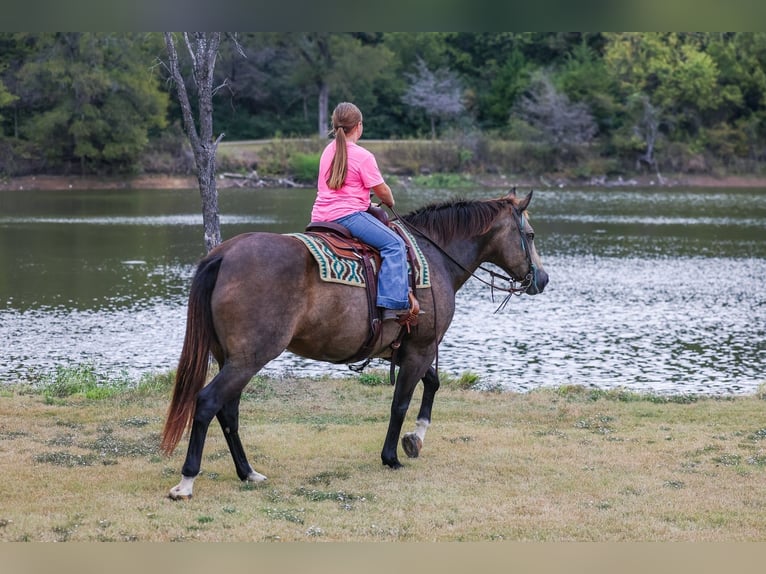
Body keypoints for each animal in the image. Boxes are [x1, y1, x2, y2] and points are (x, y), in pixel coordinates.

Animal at [160, 189, 548, 499]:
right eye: (529, 234)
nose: (542, 279)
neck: (434, 256)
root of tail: (223, 255)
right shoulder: (422, 348)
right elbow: (400, 403)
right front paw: (392, 457)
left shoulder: (408, 349)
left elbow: (433, 383)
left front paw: (416, 438)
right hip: (248, 358)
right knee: (208, 402)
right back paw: (187, 482)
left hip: (232, 358)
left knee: (228, 410)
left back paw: (247, 472)